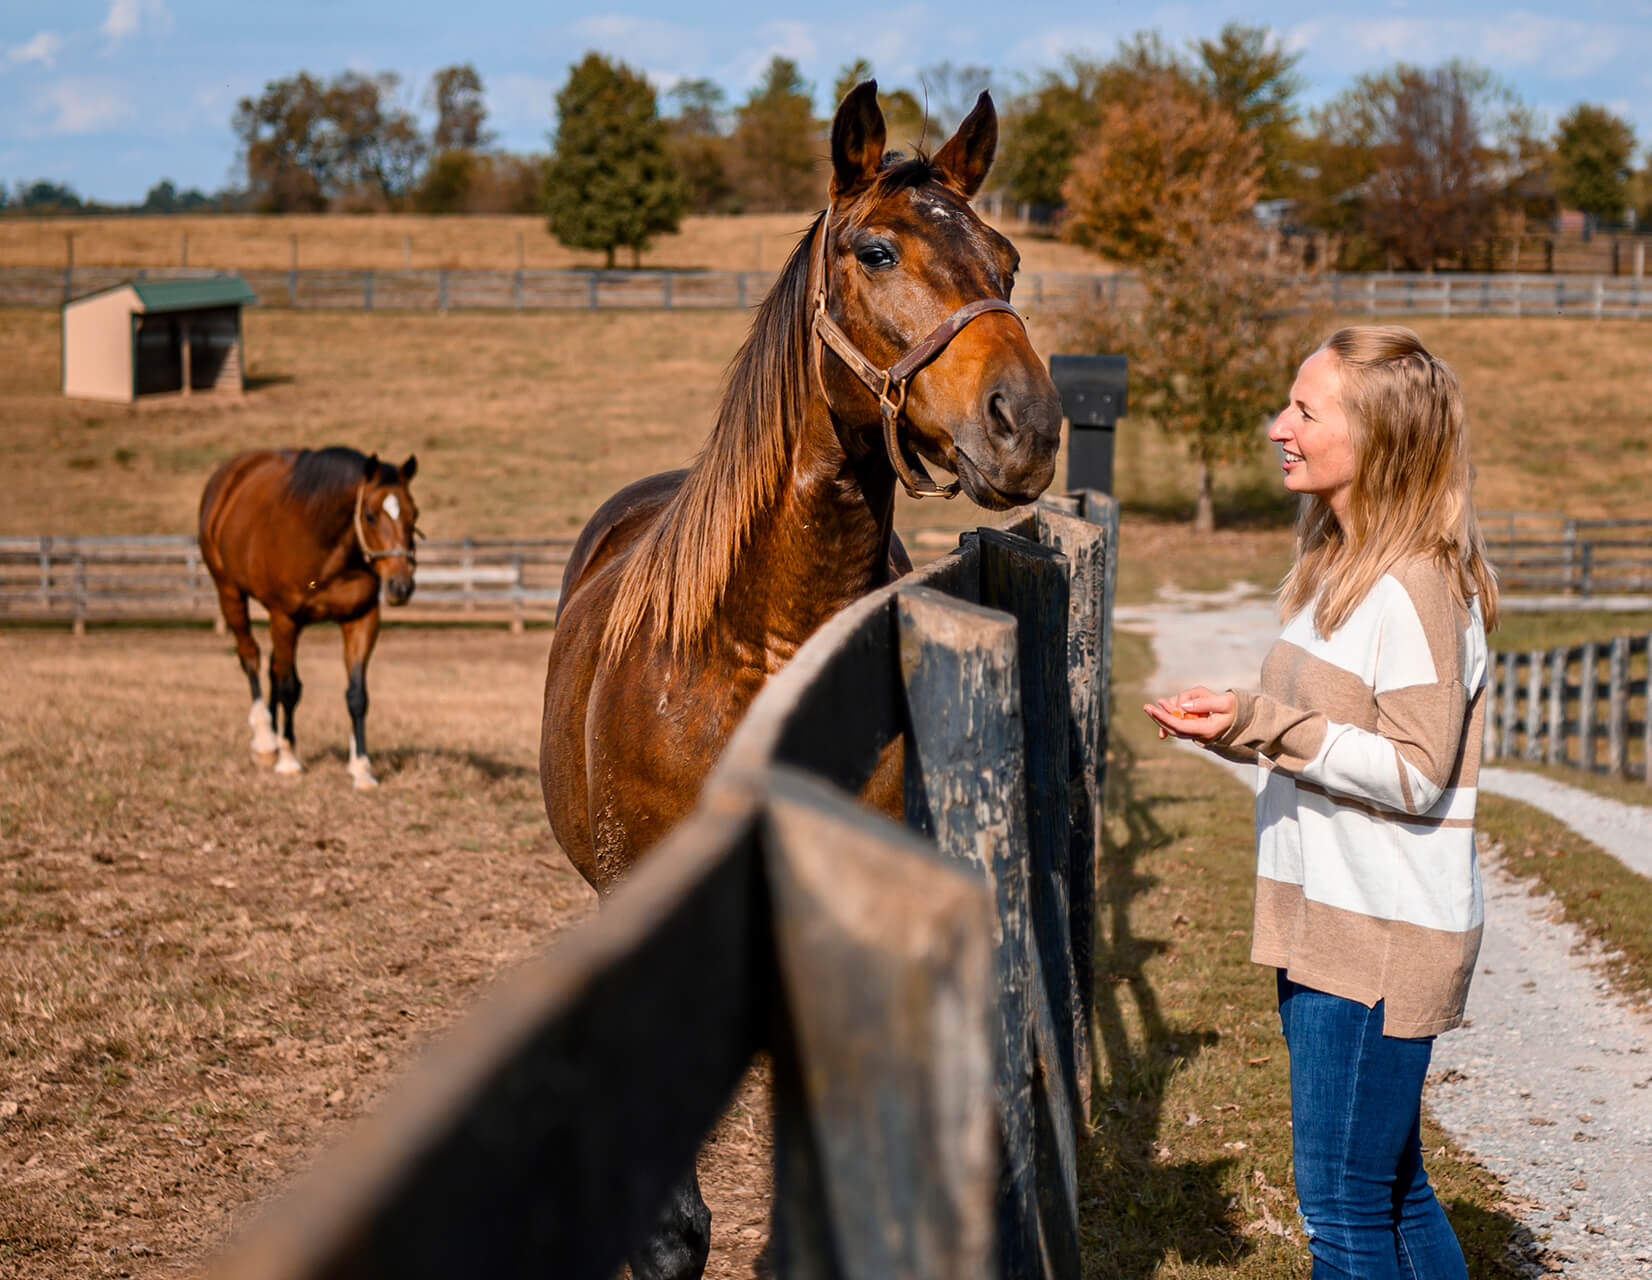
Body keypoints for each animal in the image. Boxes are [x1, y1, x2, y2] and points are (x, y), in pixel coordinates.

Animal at [201, 449, 419, 789]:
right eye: (370, 515)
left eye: (415, 514)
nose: (401, 586)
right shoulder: (285, 617)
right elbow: (289, 689)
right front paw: (288, 761)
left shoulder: (361, 619)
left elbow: (356, 695)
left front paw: (361, 768)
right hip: (230, 593)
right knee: (250, 656)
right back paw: (266, 742)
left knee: (274, 668)